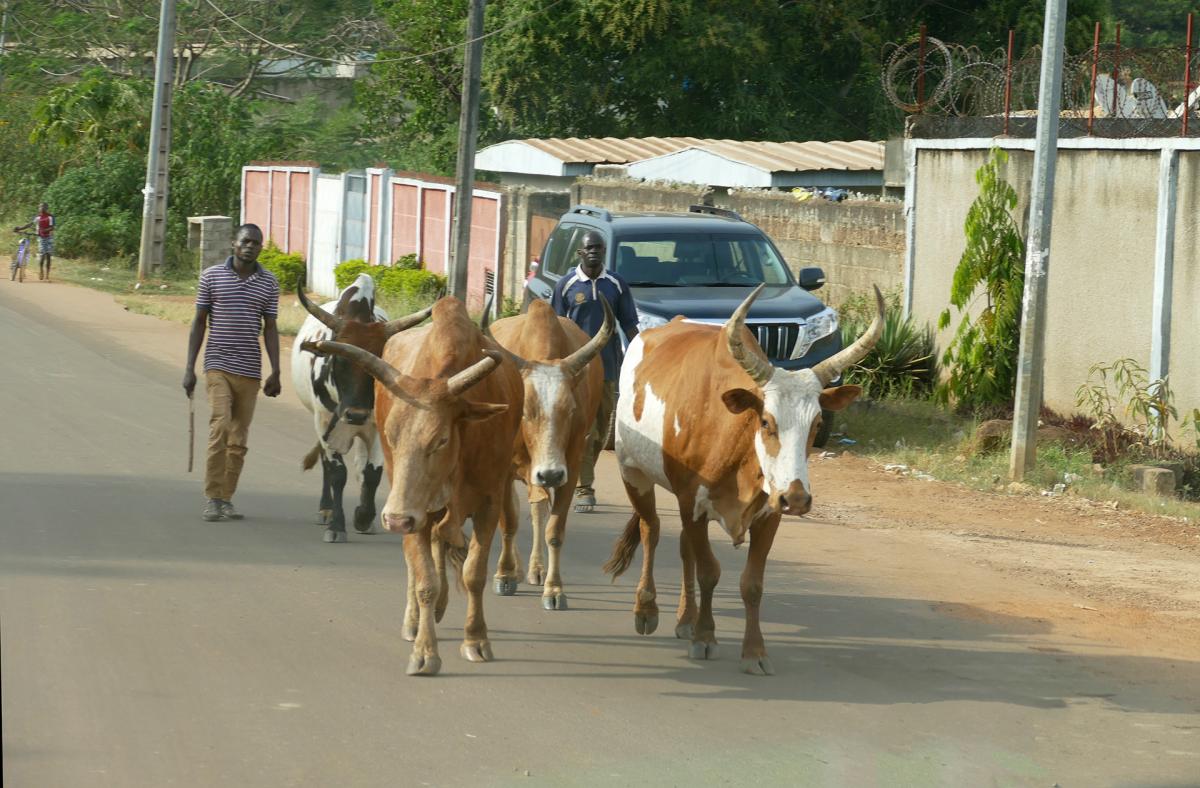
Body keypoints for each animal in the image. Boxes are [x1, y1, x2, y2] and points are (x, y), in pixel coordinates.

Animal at [300, 295, 520, 676]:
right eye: (390, 434)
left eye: (441, 439)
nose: (394, 520)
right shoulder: (412, 510)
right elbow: (424, 581)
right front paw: (424, 651)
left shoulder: (489, 502)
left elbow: (474, 573)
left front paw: (476, 639)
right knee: (419, 562)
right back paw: (416, 620)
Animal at [477, 295, 609, 609]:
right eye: (525, 410)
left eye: (571, 410)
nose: (549, 473)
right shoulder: (504, 470)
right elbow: (509, 521)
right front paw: (504, 575)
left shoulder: (569, 469)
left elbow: (554, 530)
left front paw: (554, 589)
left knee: (538, 509)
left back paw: (536, 569)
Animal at [609, 285, 883, 671]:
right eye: (766, 421)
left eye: (816, 424)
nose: (797, 498)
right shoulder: (692, 502)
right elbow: (709, 572)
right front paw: (705, 638)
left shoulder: (768, 514)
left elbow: (751, 584)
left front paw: (754, 652)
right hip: (633, 472)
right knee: (652, 530)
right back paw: (647, 609)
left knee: (684, 548)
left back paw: (685, 618)